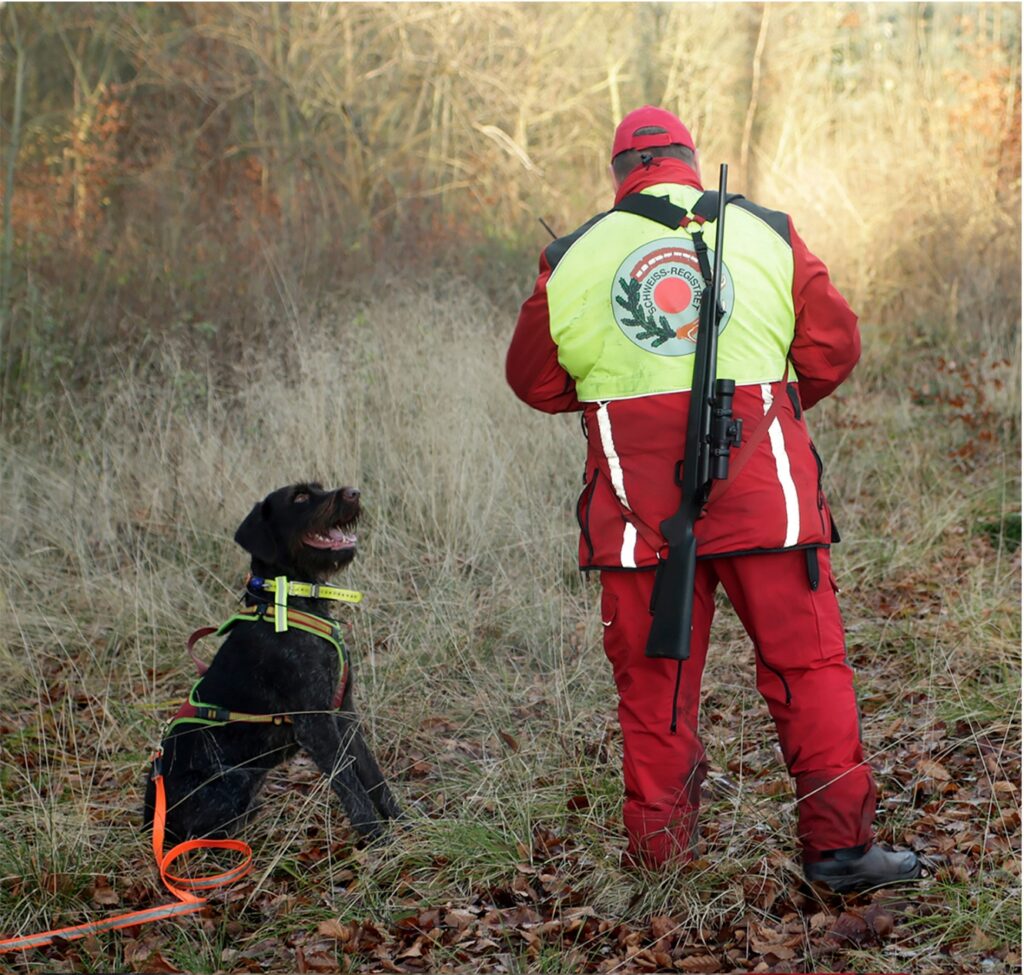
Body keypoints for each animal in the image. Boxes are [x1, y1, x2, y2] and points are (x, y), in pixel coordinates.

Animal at [142, 483, 401, 839]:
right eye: (301, 497)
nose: (353, 492)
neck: (292, 601)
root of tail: (148, 819)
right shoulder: (315, 724)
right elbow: (350, 786)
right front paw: (377, 839)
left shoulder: (344, 712)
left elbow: (372, 775)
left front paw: (407, 824)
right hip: (236, 778)